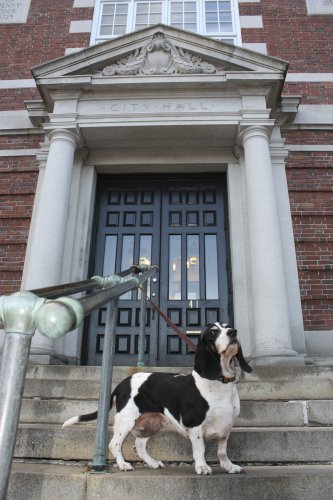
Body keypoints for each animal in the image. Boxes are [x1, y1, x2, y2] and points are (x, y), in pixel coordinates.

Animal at [62, 322, 250, 474]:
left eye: (227, 326)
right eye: (213, 332)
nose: (233, 332)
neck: (220, 383)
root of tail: (123, 382)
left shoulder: (226, 428)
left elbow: (222, 451)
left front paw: (229, 466)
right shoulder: (195, 425)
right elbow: (200, 449)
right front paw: (202, 467)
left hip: (150, 424)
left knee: (139, 446)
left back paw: (152, 463)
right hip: (126, 421)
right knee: (114, 444)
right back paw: (123, 465)